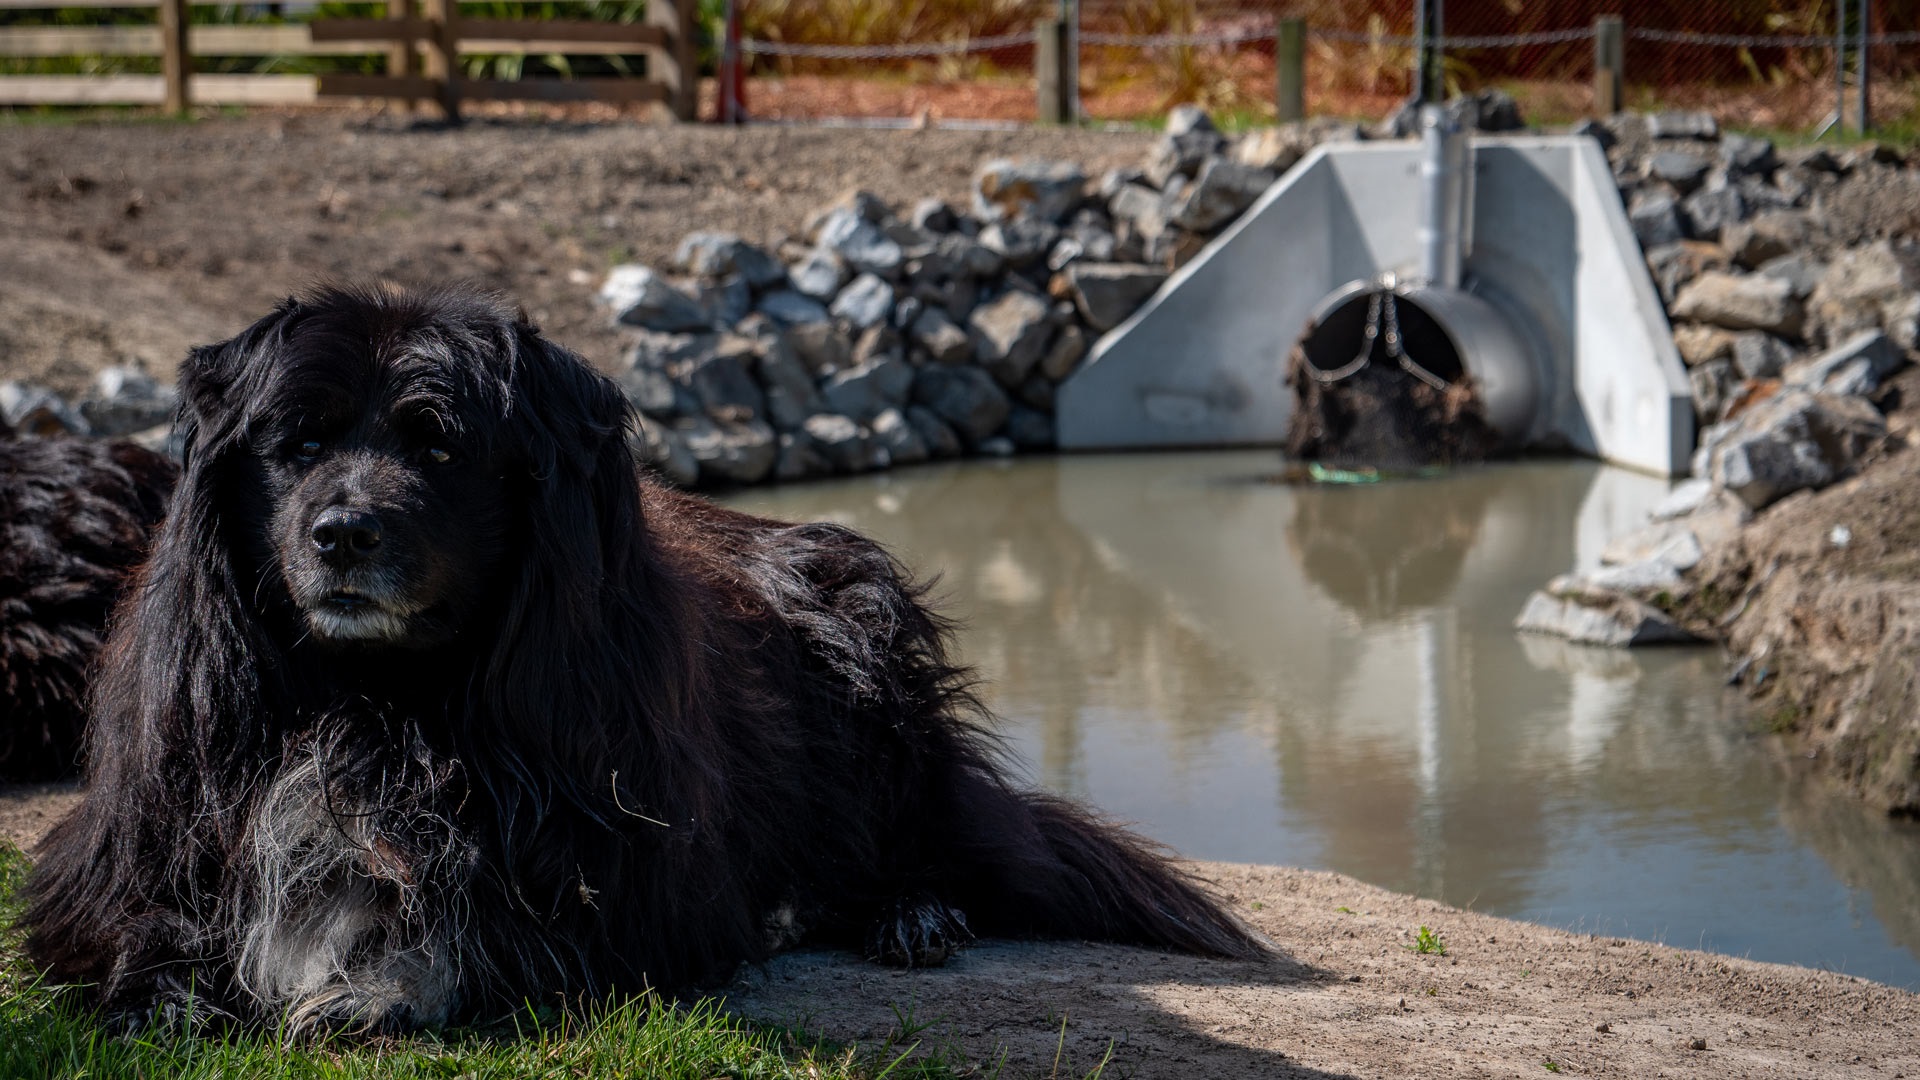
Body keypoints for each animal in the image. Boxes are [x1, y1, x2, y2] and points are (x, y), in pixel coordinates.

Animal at [30, 282, 1267, 1030]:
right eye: (299, 444)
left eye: (441, 447)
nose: (341, 535)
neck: (377, 695)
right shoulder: (136, 843)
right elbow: (139, 932)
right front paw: (171, 990)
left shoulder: (614, 884)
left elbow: (461, 935)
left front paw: (362, 986)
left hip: (863, 646)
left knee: (920, 839)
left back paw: (910, 913)